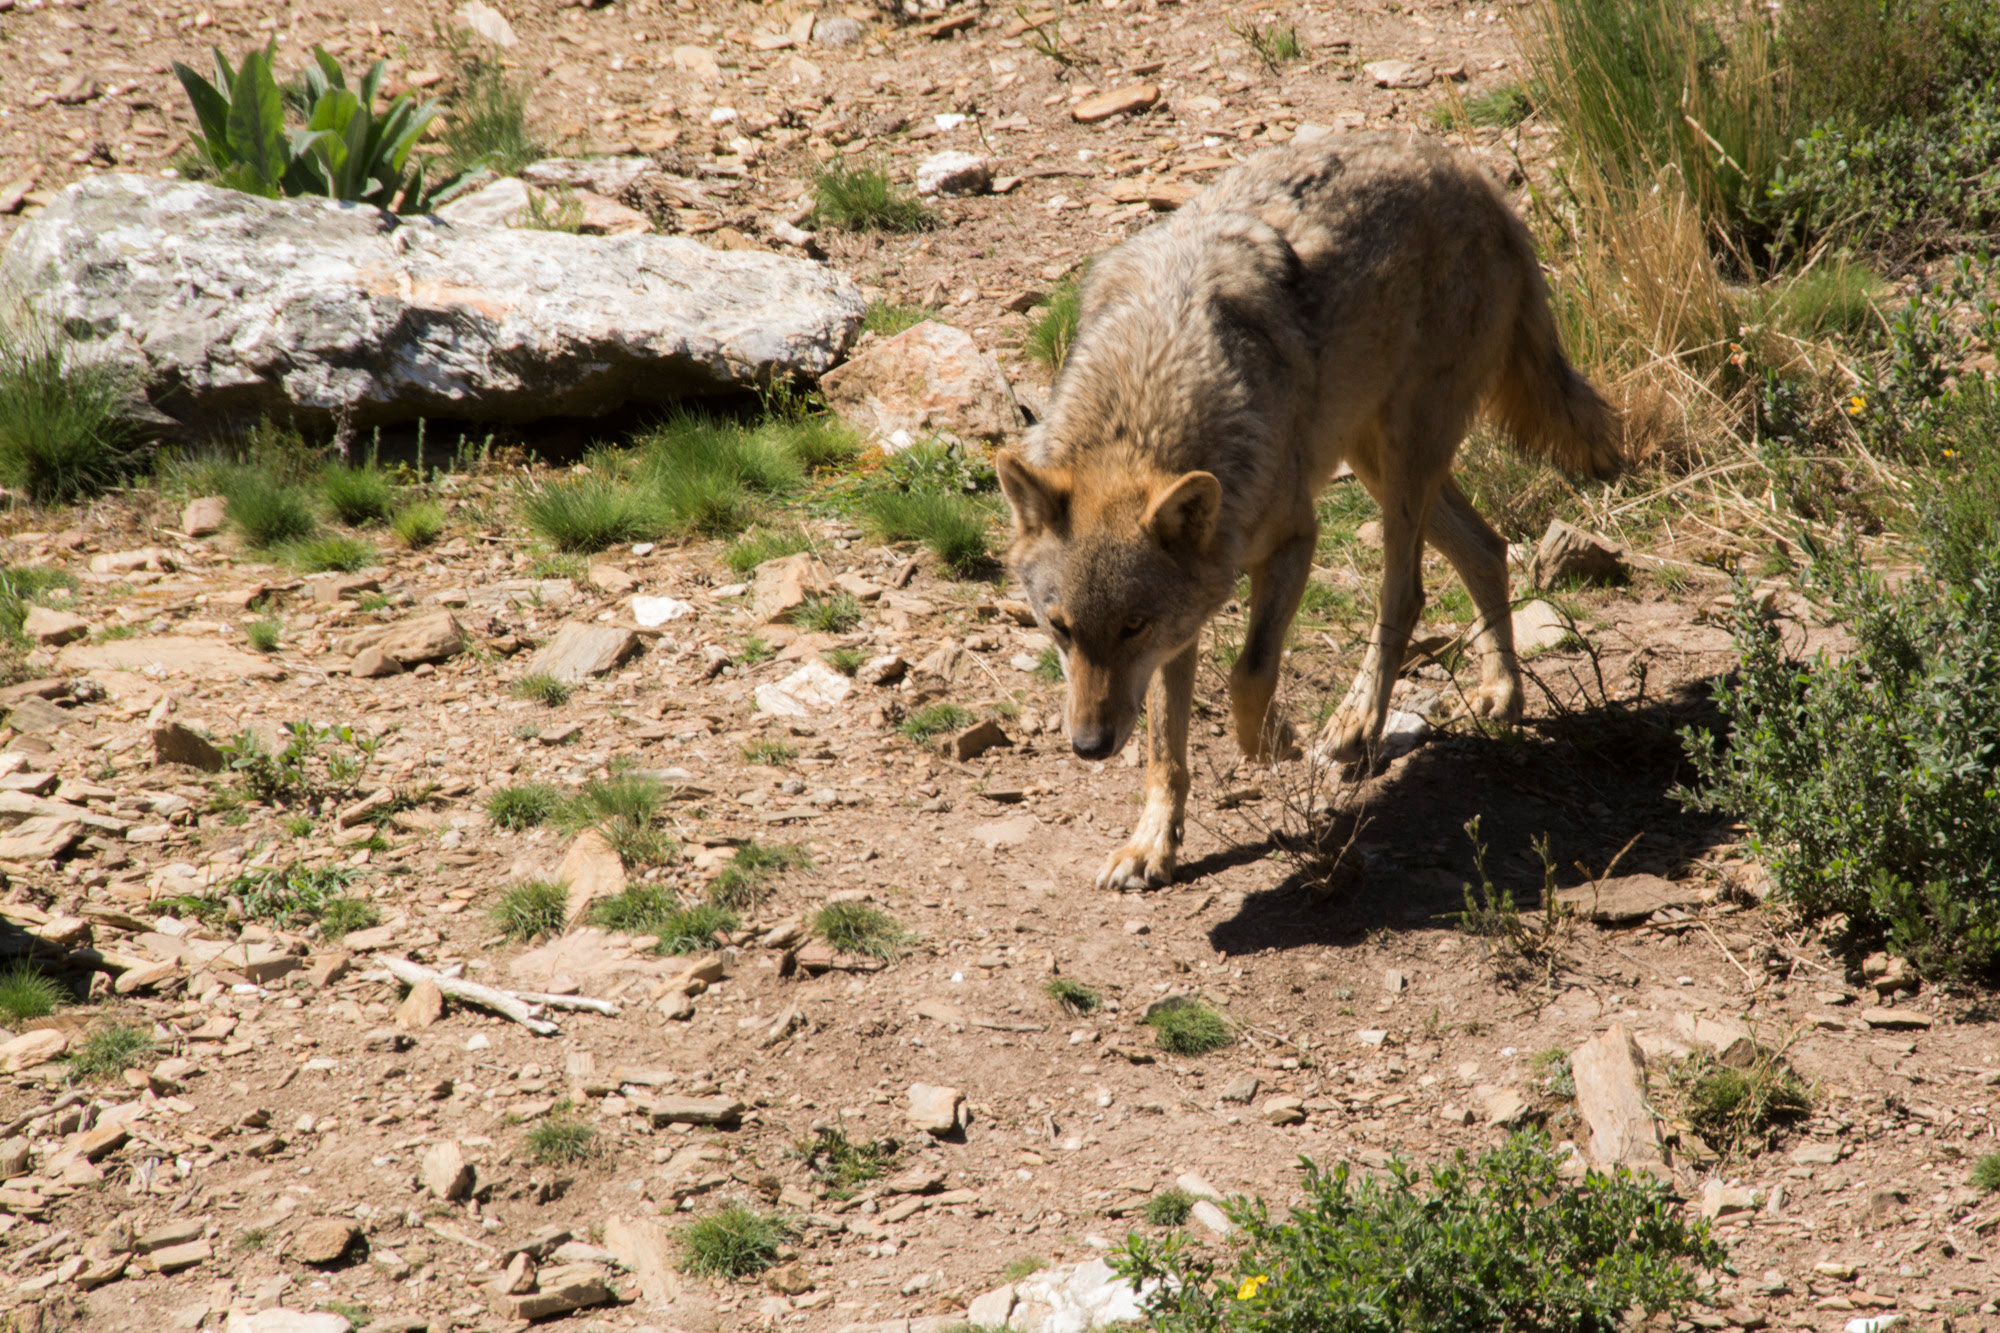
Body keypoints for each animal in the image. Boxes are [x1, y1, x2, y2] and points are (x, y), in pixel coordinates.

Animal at [996, 132, 1620, 892]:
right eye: (1059, 628)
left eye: (1131, 626)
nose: (1088, 745)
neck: (1148, 401)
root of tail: (1471, 174)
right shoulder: (1186, 621)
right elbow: (1165, 750)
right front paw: (1152, 846)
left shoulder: (1294, 538)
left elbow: (1249, 675)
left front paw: (1277, 742)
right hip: (1376, 458)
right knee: (1488, 547)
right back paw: (1503, 692)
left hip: (1402, 462)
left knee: (1407, 593)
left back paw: (1356, 723)